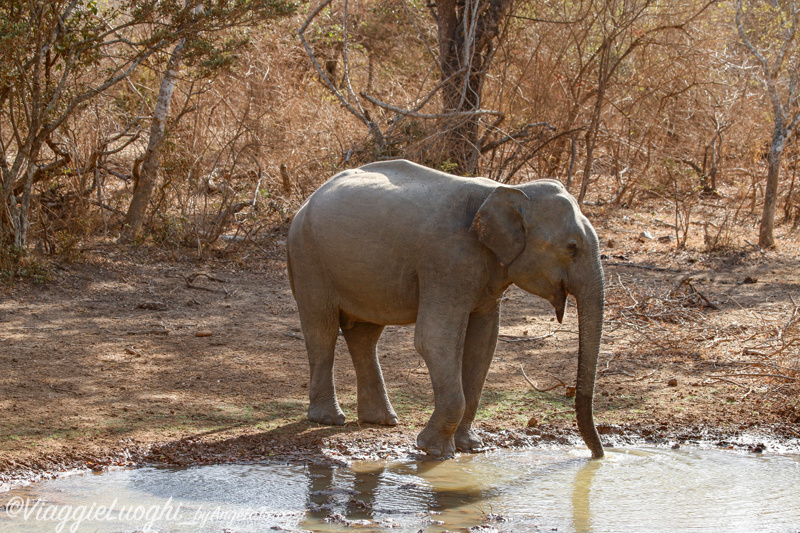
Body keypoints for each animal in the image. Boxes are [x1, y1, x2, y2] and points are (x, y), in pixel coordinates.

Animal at [288, 158, 608, 458]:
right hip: (307, 256)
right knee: (322, 329)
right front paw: (435, 451)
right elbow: (433, 339)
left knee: (364, 335)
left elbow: (484, 343)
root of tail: (309, 199)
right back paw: (330, 420)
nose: (597, 456)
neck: (505, 190)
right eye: (571, 248)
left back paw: (382, 420)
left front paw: (471, 446)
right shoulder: (448, 259)